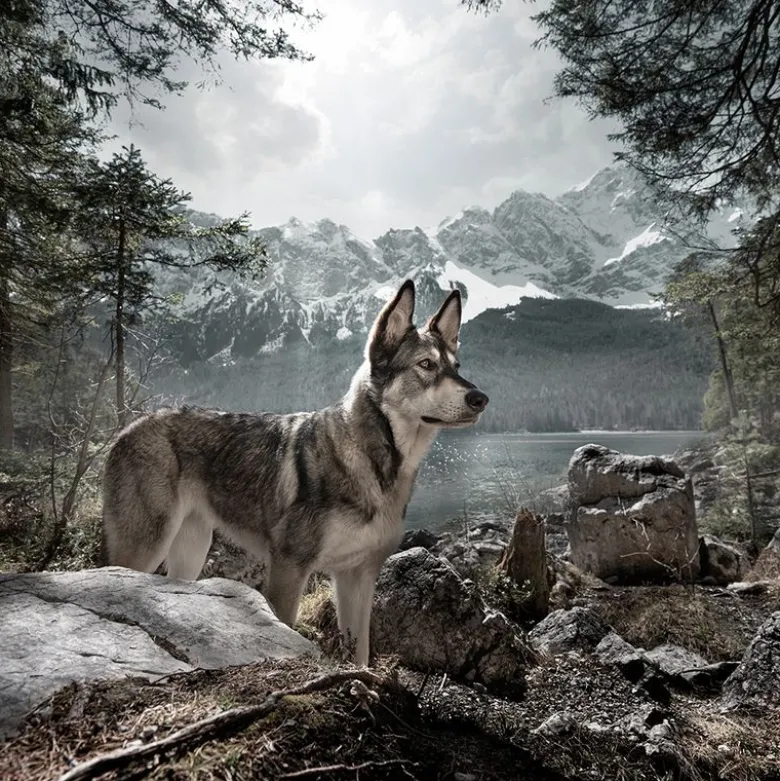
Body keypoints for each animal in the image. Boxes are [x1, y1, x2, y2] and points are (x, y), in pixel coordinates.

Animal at [102, 280, 489, 666]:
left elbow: (359, 653)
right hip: (145, 548)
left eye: (456, 366)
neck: (376, 463)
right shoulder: (289, 569)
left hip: (190, 553)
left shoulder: (357, 577)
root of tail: (127, 429)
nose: (481, 399)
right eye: (426, 365)